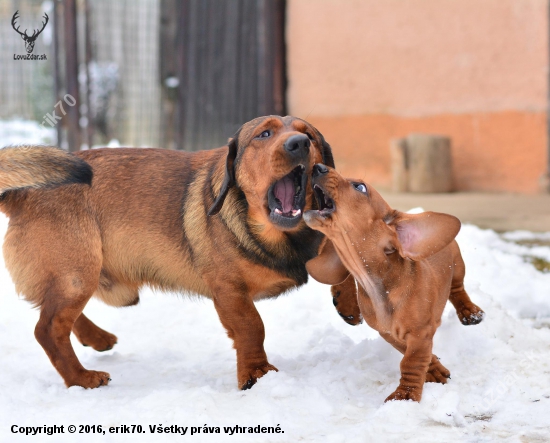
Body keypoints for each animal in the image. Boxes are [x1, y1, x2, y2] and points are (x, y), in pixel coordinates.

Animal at [0, 117, 344, 392]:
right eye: (264, 134)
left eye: (309, 136)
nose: (298, 143)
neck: (275, 234)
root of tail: (22, 193)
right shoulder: (229, 290)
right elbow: (251, 327)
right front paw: (256, 374)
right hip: (77, 273)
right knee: (48, 328)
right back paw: (80, 378)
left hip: (78, 277)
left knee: (56, 315)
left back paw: (96, 338)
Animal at [304, 165, 486, 404]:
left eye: (359, 187)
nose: (318, 166)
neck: (377, 285)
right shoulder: (390, 334)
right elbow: (413, 355)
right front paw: (434, 369)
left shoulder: (420, 333)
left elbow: (411, 361)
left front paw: (405, 395)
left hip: (457, 267)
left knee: (457, 291)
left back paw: (470, 312)